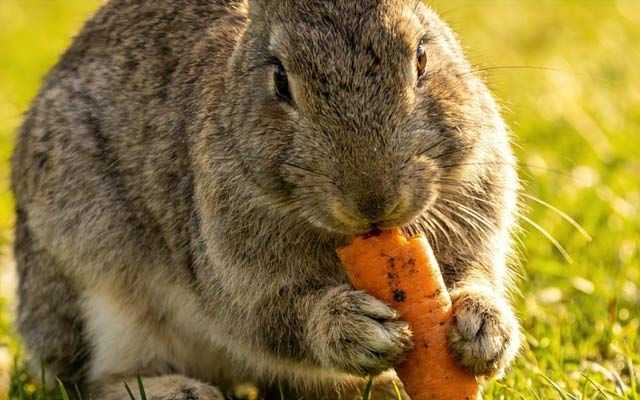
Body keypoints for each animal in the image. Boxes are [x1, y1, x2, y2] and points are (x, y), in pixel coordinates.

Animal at [11, 0, 522, 399]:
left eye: (421, 58)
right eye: (280, 80)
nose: (373, 202)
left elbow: (474, 274)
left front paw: (484, 331)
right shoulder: (232, 271)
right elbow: (272, 318)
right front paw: (355, 329)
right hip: (92, 285)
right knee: (95, 378)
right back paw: (180, 392)